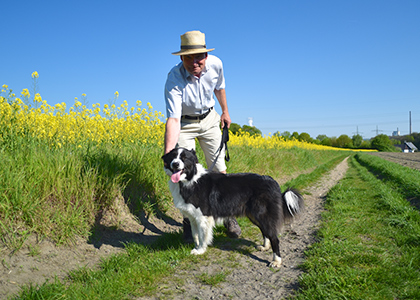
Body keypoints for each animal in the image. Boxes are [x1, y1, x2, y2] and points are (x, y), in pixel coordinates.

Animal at [160, 148, 302, 268]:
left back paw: (276, 261)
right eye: (173, 157)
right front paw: (196, 247)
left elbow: (202, 236)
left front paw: (200, 250)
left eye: (184, 158)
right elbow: (195, 235)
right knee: (266, 232)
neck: (190, 179)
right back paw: (265, 247)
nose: (175, 164)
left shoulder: (203, 217)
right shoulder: (193, 217)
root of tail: (273, 182)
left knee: (274, 237)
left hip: (263, 214)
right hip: (254, 216)